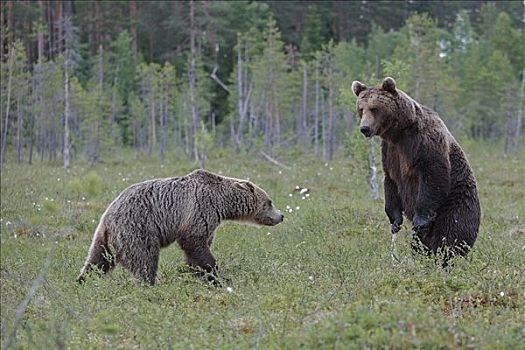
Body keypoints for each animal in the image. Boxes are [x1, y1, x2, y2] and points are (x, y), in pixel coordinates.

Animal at [76, 168, 284, 286]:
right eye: (270, 202)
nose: (281, 216)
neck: (221, 204)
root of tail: (107, 216)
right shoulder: (200, 209)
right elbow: (194, 242)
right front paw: (215, 275)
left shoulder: (209, 220)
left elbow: (198, 249)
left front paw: (195, 272)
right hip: (138, 228)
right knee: (145, 259)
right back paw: (149, 284)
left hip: (104, 238)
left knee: (97, 261)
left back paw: (82, 281)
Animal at [352, 76, 478, 262]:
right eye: (361, 109)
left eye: (374, 108)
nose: (364, 128)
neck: (399, 132)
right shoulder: (391, 151)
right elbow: (391, 181)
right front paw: (395, 221)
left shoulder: (425, 142)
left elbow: (433, 174)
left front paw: (420, 220)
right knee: (422, 243)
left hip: (457, 201)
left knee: (451, 233)